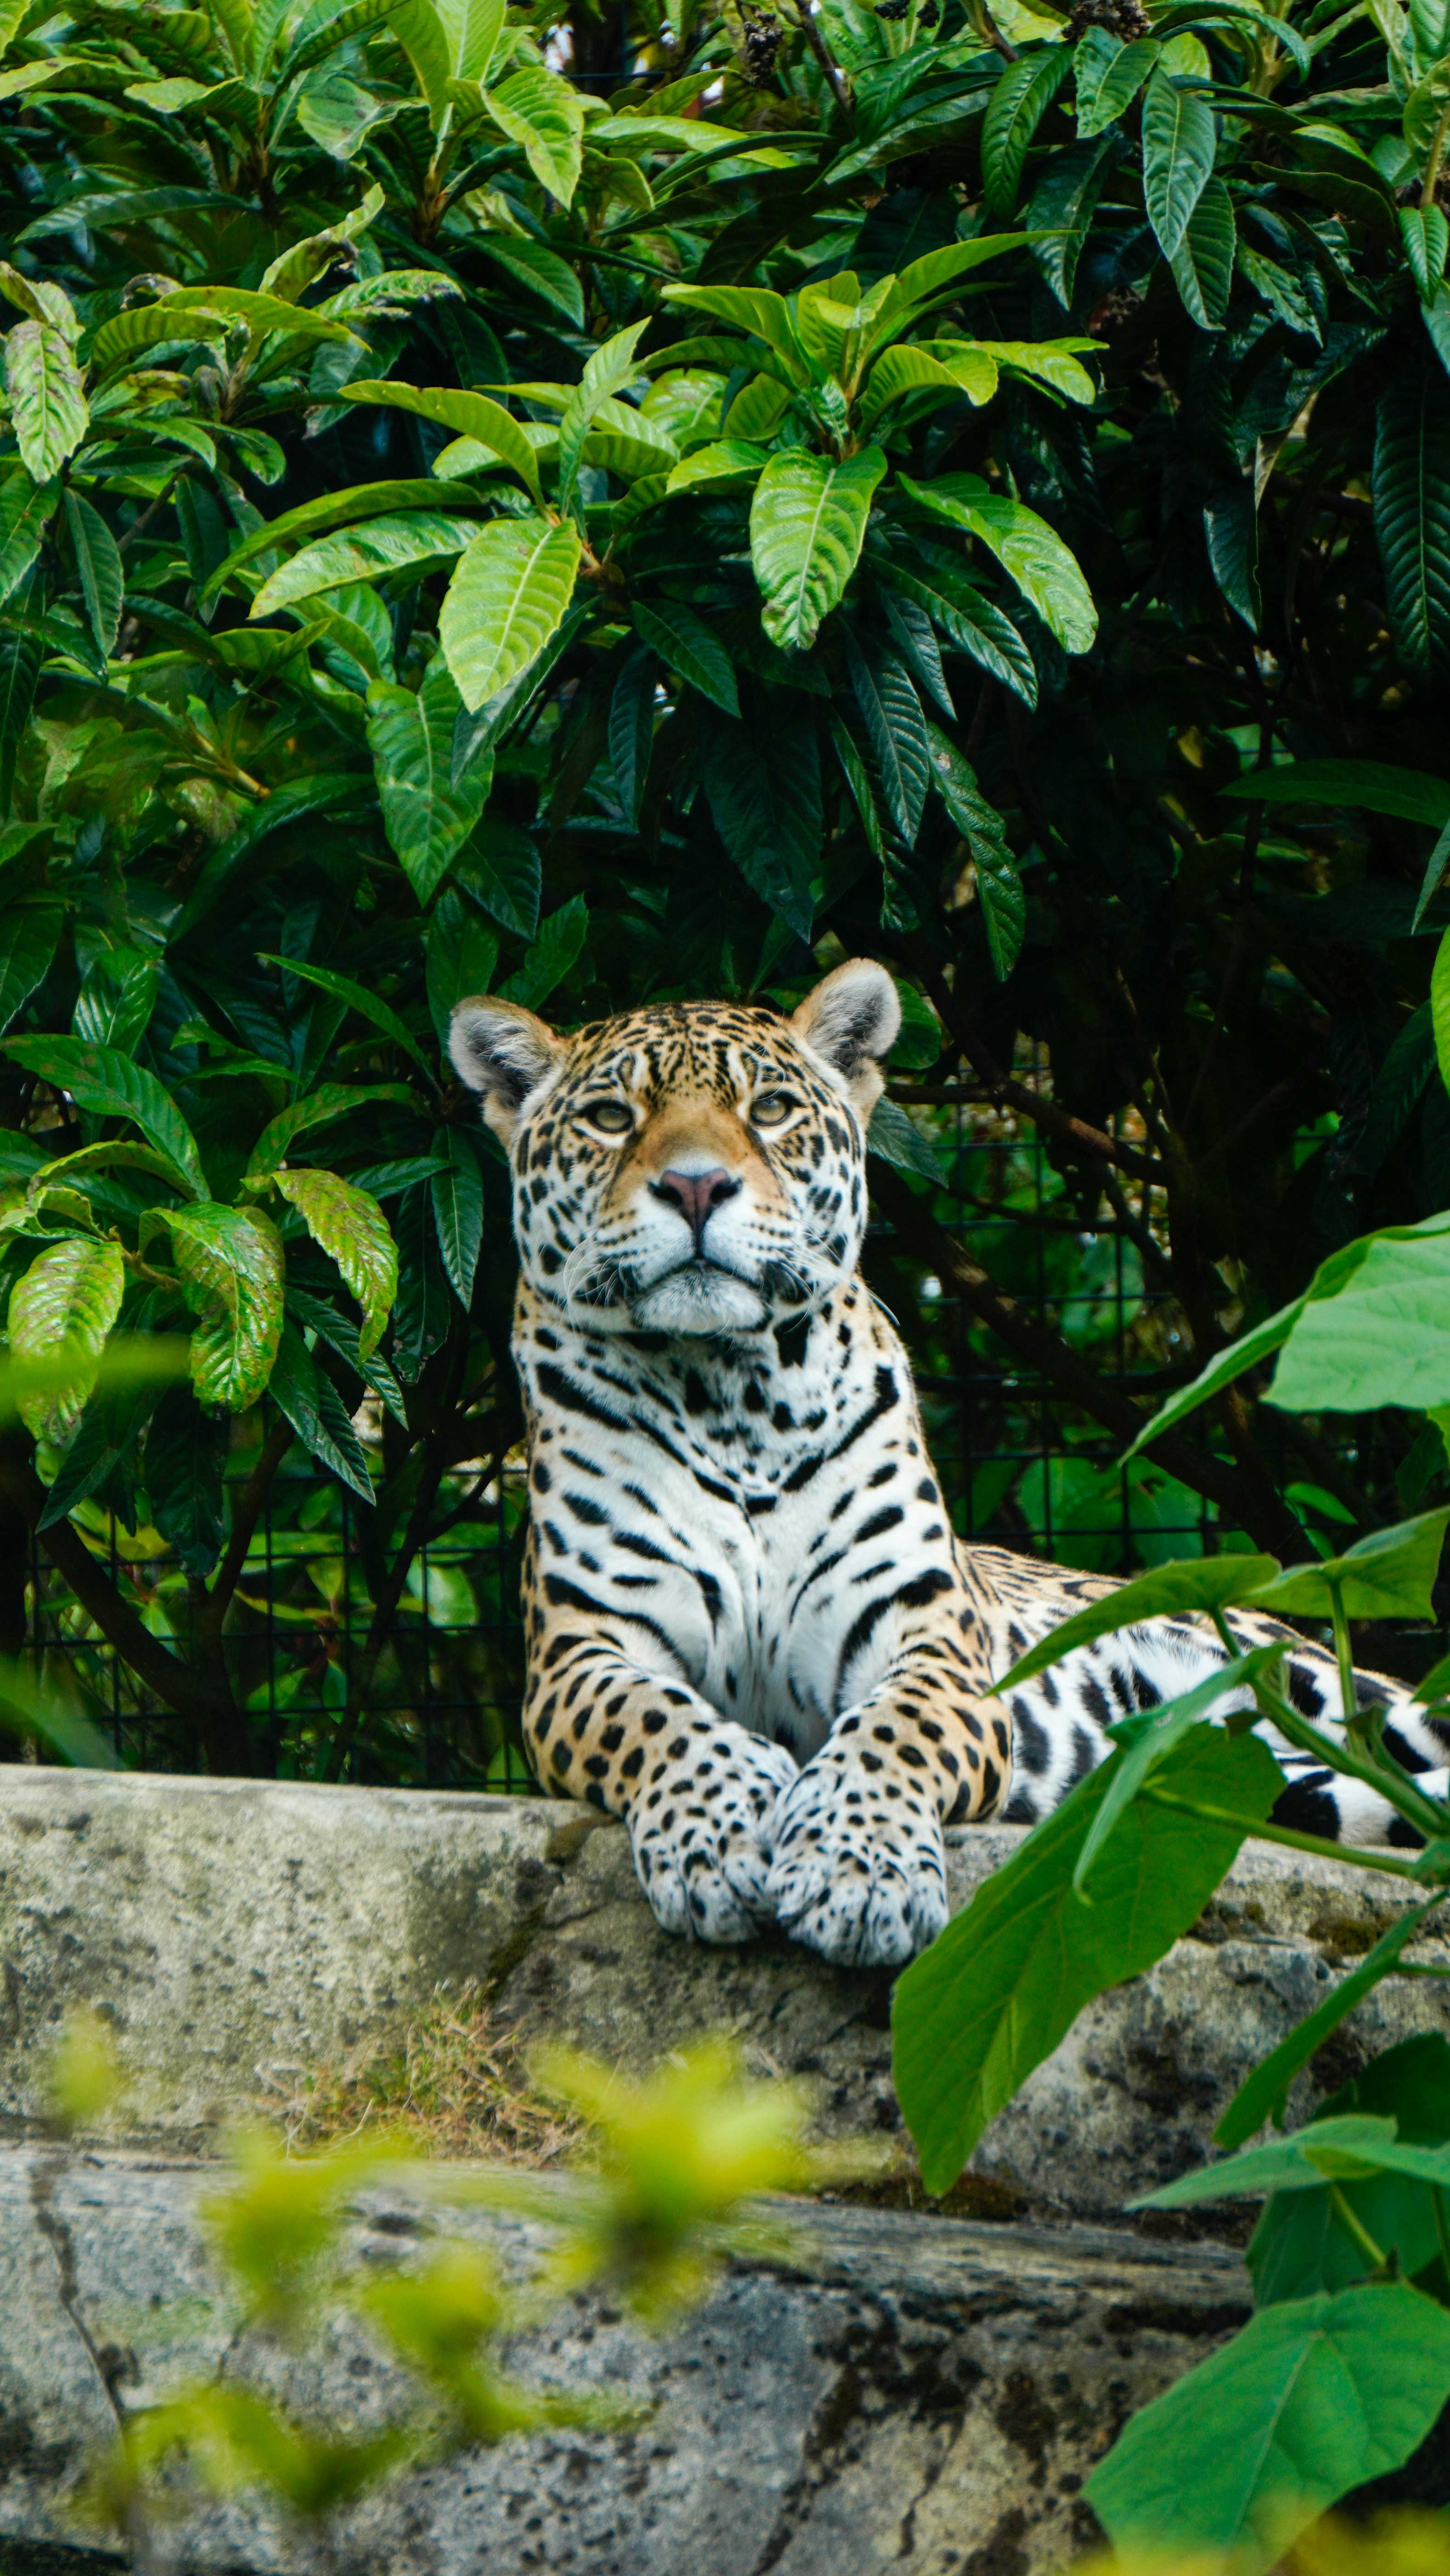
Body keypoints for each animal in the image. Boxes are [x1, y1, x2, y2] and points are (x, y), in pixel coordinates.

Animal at [449, 956, 1450, 1971]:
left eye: (769, 1108)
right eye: (612, 1118)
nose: (696, 1188)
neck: (729, 1395)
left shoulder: (926, 1634)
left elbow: (893, 1731)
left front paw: (857, 1874)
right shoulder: (580, 1654)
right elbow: (659, 1720)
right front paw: (722, 1840)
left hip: (1315, 1679)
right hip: (1286, 1783)